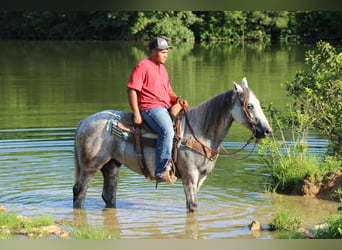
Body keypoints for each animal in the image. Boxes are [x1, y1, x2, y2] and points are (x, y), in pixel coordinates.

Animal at [73, 77, 272, 213]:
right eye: (250, 106)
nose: (267, 130)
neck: (199, 132)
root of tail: (84, 122)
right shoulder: (190, 176)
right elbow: (192, 206)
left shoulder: (201, 178)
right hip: (90, 166)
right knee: (79, 191)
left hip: (111, 165)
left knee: (109, 195)